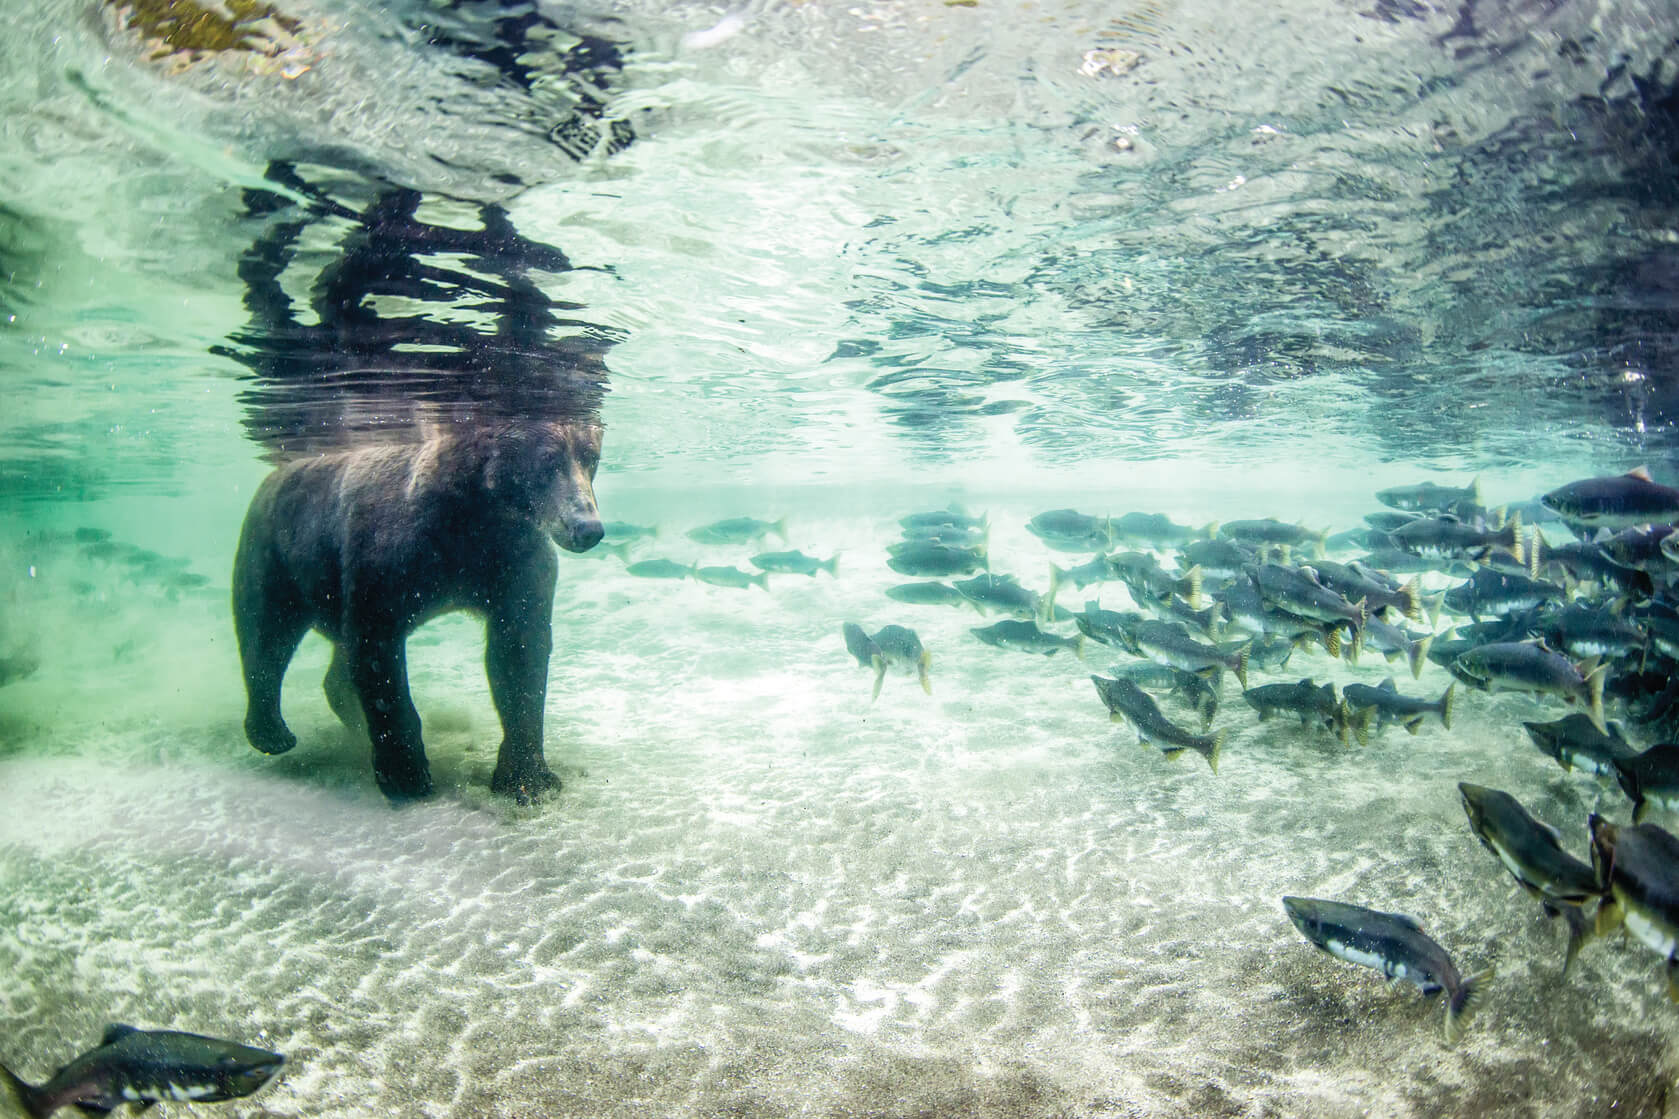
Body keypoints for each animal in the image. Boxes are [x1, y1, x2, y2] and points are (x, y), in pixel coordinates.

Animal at [231, 420, 604, 802]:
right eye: (549, 460)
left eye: (591, 457)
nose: (589, 528)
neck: (470, 513)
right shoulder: (390, 553)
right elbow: (377, 651)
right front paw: (406, 774)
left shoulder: (513, 559)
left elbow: (519, 652)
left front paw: (528, 777)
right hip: (275, 552)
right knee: (266, 632)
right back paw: (272, 732)